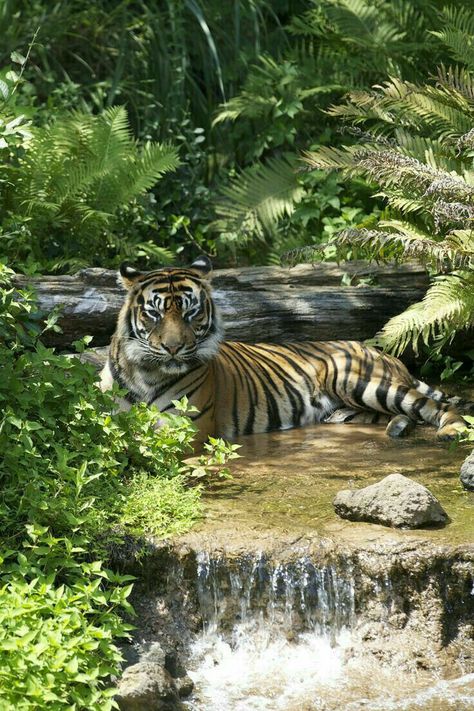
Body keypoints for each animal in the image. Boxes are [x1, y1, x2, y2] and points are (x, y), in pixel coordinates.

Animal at [100, 256, 470, 444]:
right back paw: (398, 428)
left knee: (435, 406)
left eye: (191, 313)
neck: (146, 373)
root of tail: (383, 353)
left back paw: (451, 431)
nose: (174, 348)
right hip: (347, 408)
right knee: (406, 413)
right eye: (155, 313)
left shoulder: (189, 429)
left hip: (359, 381)